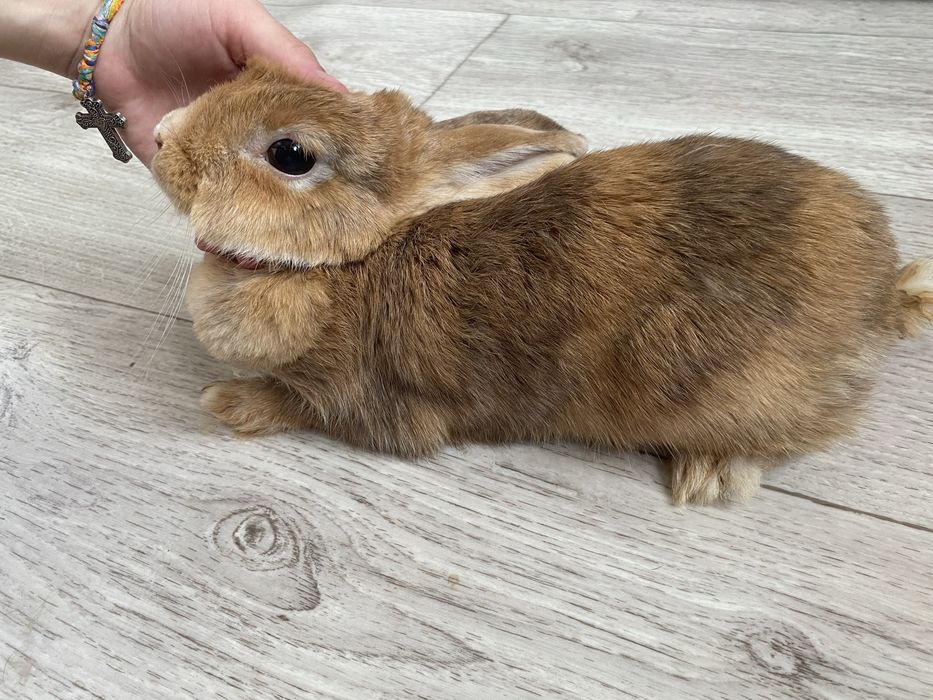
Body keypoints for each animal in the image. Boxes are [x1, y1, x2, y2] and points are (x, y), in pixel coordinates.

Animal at [152, 59, 933, 505]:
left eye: (290, 154)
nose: (160, 135)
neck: (349, 262)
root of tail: (885, 298)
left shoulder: (373, 403)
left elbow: (301, 407)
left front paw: (226, 402)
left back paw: (709, 473)